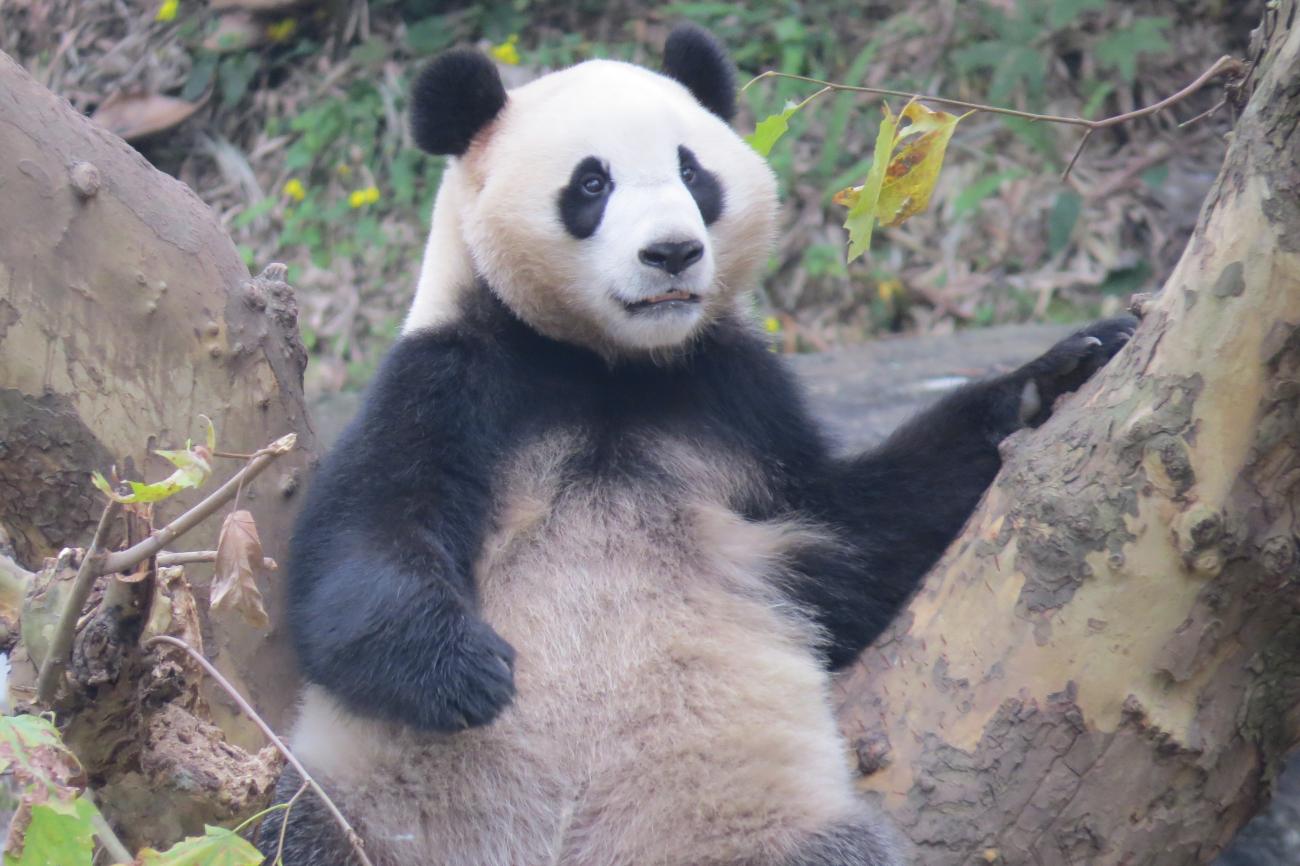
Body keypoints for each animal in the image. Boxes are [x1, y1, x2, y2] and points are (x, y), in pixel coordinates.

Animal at [258, 23, 1133, 863]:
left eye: (692, 172)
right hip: (363, 809)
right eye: (592, 184)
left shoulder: (739, 403)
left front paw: (1057, 371)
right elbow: (361, 538)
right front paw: (465, 671)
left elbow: (851, 534)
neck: (611, 366)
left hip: (753, 823)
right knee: (290, 837)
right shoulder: (459, 375)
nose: (672, 252)